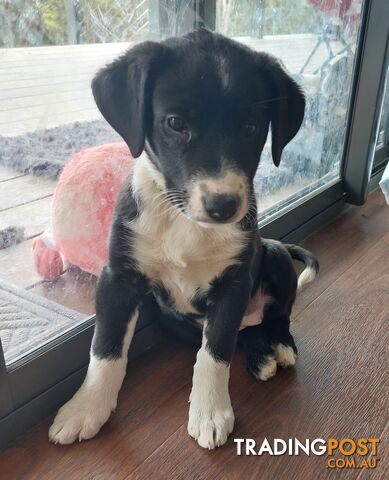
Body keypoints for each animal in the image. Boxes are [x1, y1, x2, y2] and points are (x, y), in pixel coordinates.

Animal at [47, 30, 318, 450]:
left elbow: (215, 353)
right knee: (242, 335)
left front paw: (209, 412)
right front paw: (86, 408)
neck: (184, 220)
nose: (223, 206)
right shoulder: (118, 278)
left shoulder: (233, 285)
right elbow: (105, 348)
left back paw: (277, 347)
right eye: (175, 123)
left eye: (251, 128)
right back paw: (259, 354)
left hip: (272, 254)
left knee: (276, 315)